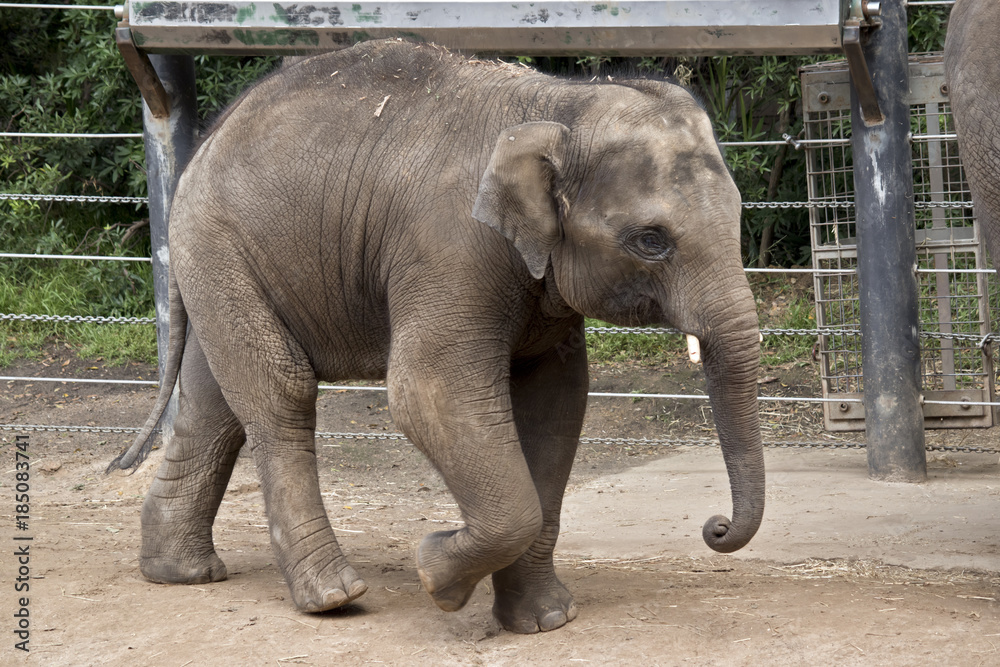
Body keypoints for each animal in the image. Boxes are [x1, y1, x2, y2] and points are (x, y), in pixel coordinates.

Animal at [109, 39, 764, 634]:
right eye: (651, 240)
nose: (714, 527)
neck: (559, 104)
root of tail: (200, 150)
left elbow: (557, 401)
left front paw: (545, 621)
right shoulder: (451, 246)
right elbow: (428, 390)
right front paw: (435, 575)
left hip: (223, 262)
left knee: (213, 402)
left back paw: (180, 573)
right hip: (222, 245)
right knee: (280, 392)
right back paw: (333, 598)